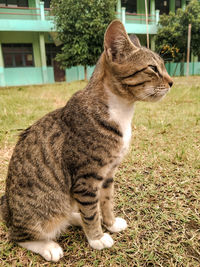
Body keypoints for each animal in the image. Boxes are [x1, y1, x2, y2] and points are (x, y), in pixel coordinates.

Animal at [0, 19, 173, 262]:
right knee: (18, 236)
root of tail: (7, 209)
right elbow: (91, 213)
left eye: (163, 67)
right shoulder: (86, 179)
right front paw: (96, 238)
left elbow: (106, 202)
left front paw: (109, 223)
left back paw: (74, 218)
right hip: (39, 215)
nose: (172, 82)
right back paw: (49, 246)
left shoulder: (108, 173)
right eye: (152, 68)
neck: (121, 111)